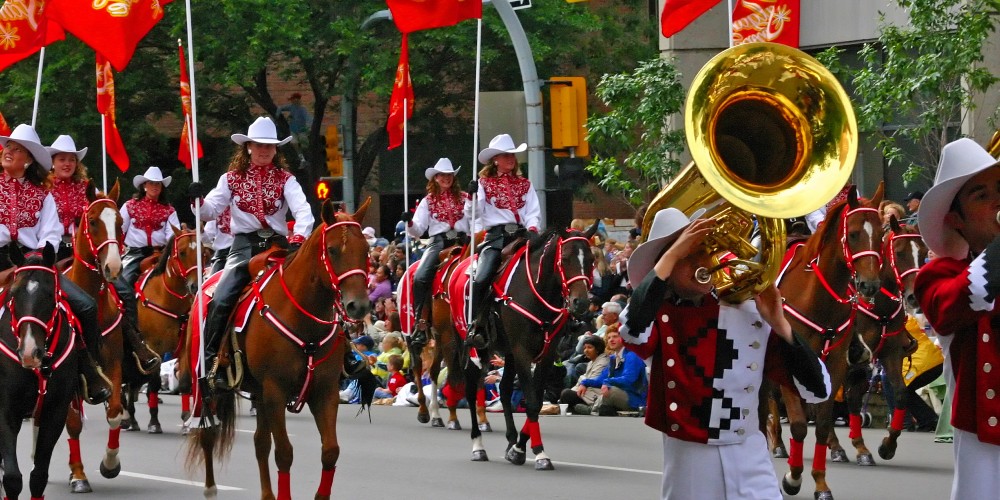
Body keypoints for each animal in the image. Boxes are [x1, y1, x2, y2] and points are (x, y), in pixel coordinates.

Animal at [123, 227, 211, 434]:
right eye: (182, 252)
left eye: (203, 253)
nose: (195, 285)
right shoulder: (154, 347)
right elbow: (154, 384)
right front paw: (154, 421)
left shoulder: (184, 347)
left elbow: (185, 380)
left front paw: (187, 420)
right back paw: (128, 417)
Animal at [187, 199, 372, 500]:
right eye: (332, 250)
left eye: (366, 250)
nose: (359, 306)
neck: (304, 321)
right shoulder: (276, 390)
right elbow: (284, 453)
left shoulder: (325, 391)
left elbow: (330, 451)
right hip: (207, 385)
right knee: (208, 432)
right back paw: (211, 488)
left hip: (258, 392)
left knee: (260, 442)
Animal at [772, 184, 884, 500]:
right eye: (854, 233)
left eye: (882, 233)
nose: (870, 285)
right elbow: (799, 425)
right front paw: (792, 478)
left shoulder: (833, 365)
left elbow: (821, 424)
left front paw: (821, 484)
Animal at [824, 215, 924, 464]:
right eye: (899, 253)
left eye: (923, 252)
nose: (914, 297)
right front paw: (838, 446)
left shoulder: (889, 355)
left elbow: (899, 394)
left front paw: (883, 446)